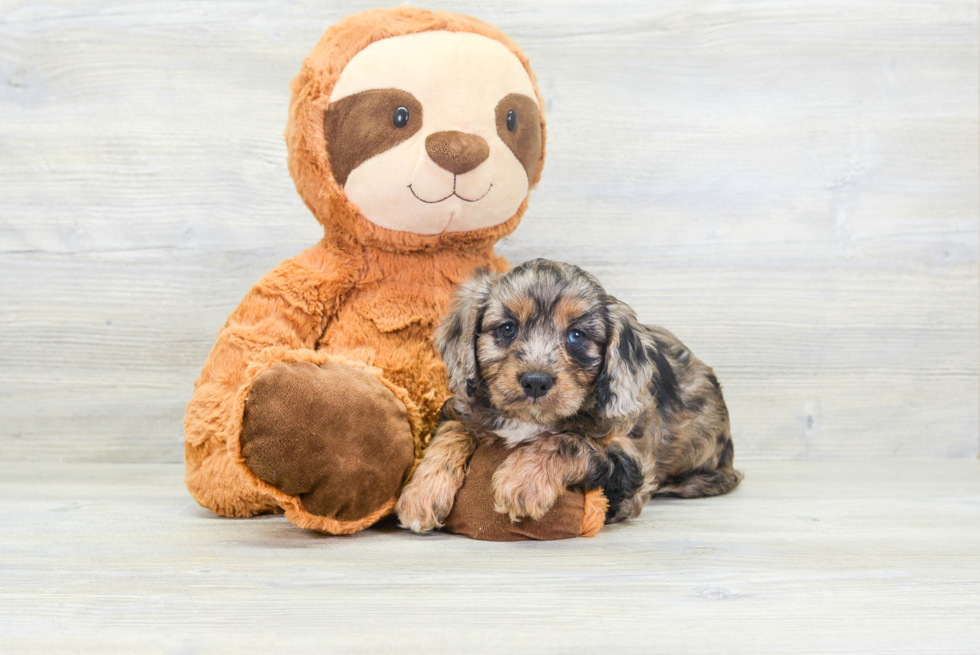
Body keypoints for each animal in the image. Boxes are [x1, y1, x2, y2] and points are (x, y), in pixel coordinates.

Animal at [394, 258, 740, 532]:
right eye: (507, 328)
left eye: (576, 336)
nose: (535, 381)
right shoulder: (464, 407)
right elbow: (453, 430)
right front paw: (421, 494)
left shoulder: (632, 464)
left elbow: (570, 441)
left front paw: (523, 481)